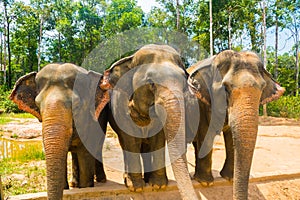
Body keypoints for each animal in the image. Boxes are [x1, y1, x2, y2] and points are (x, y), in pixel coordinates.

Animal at [9, 63, 110, 200]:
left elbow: (85, 153)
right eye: (37, 104)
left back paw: (100, 180)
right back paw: (74, 184)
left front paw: (85, 187)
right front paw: (67, 188)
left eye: (76, 105)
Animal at [100, 44, 199, 199]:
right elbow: (130, 139)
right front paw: (136, 188)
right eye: (151, 83)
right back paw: (129, 180)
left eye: (184, 82)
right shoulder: (120, 108)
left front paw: (159, 185)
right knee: (125, 144)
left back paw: (147, 179)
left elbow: (158, 139)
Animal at [186, 50, 284, 198]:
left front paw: (230, 178)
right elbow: (206, 132)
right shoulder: (201, 103)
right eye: (225, 88)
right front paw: (206, 183)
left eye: (262, 88)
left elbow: (232, 136)